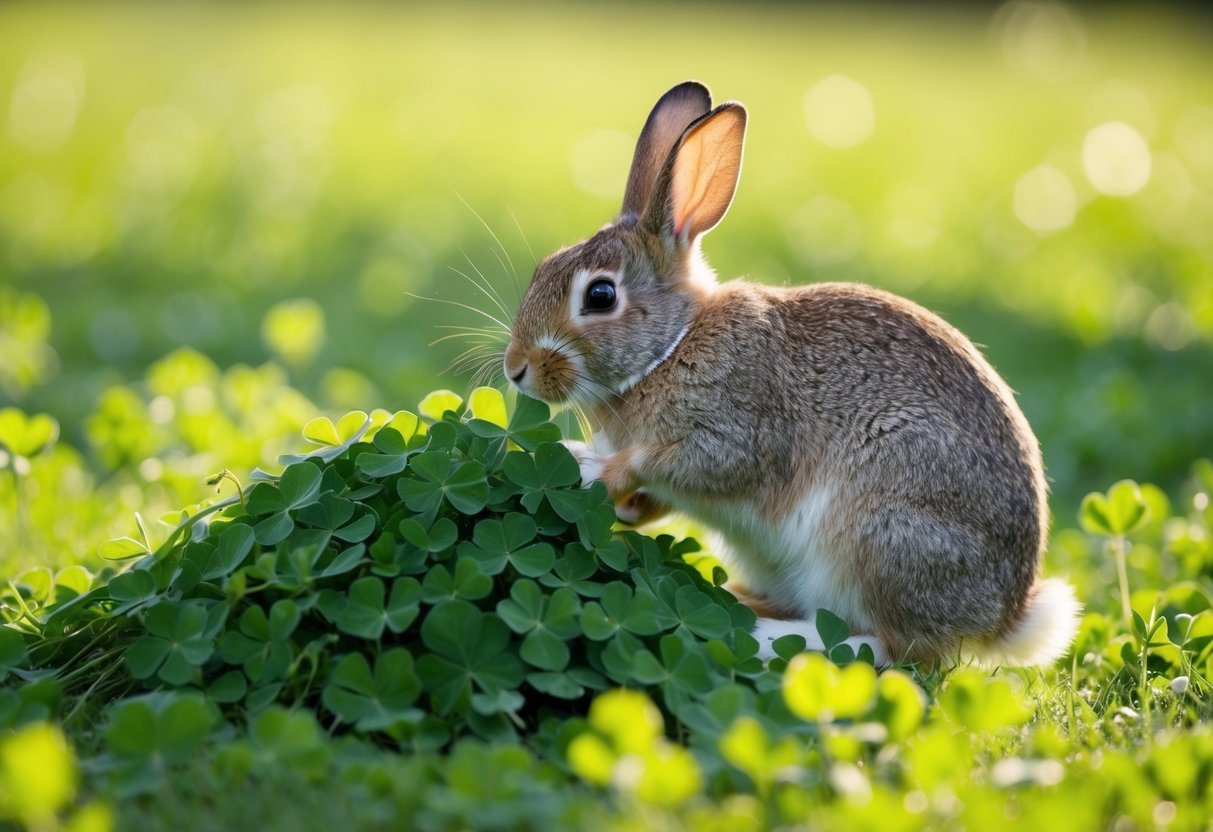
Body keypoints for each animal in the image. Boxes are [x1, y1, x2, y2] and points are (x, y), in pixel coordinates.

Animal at [503, 80, 1080, 667]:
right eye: (544, 267)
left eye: (600, 296)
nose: (516, 369)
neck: (673, 346)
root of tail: (1005, 618)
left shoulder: (735, 436)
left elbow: (663, 461)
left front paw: (589, 468)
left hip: (879, 534)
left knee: (891, 648)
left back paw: (765, 637)